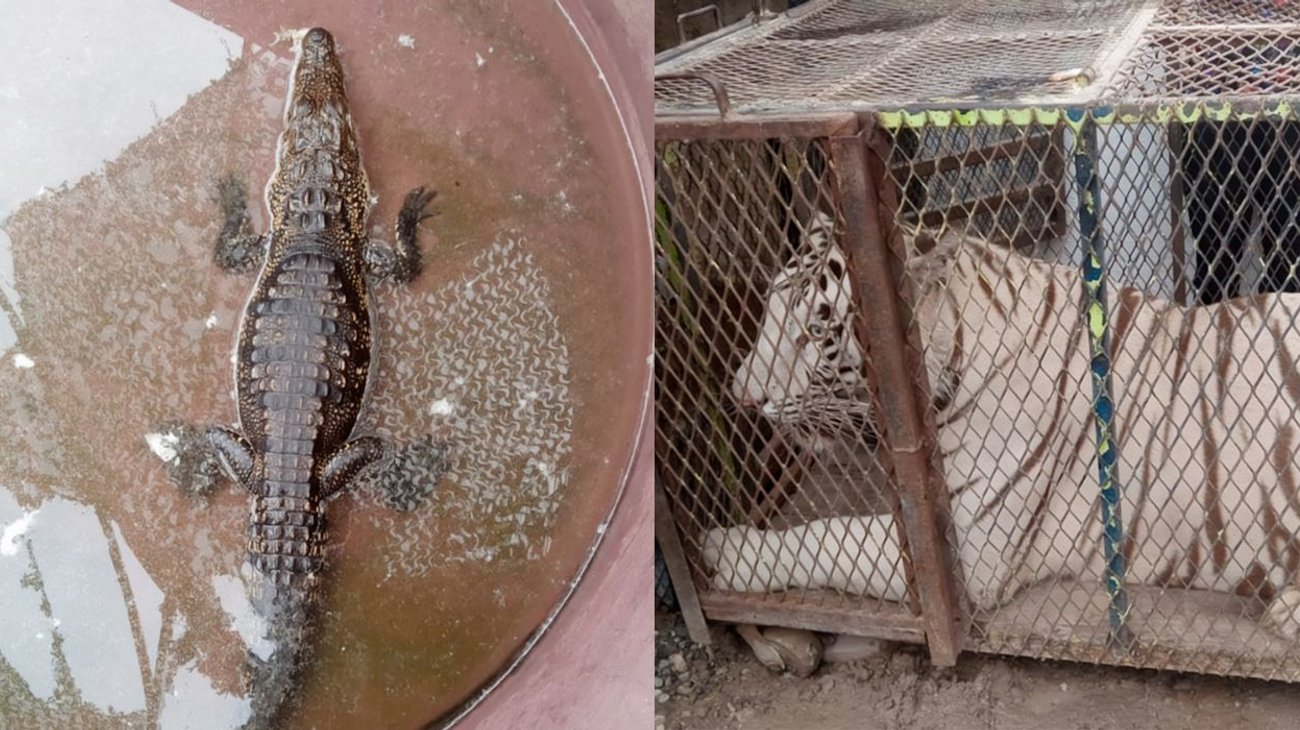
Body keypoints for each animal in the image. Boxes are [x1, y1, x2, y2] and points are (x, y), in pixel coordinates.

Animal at [710, 215, 1300, 638]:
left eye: (815, 332)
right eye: (769, 305)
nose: (739, 396)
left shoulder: (973, 548)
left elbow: (832, 539)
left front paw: (727, 553)